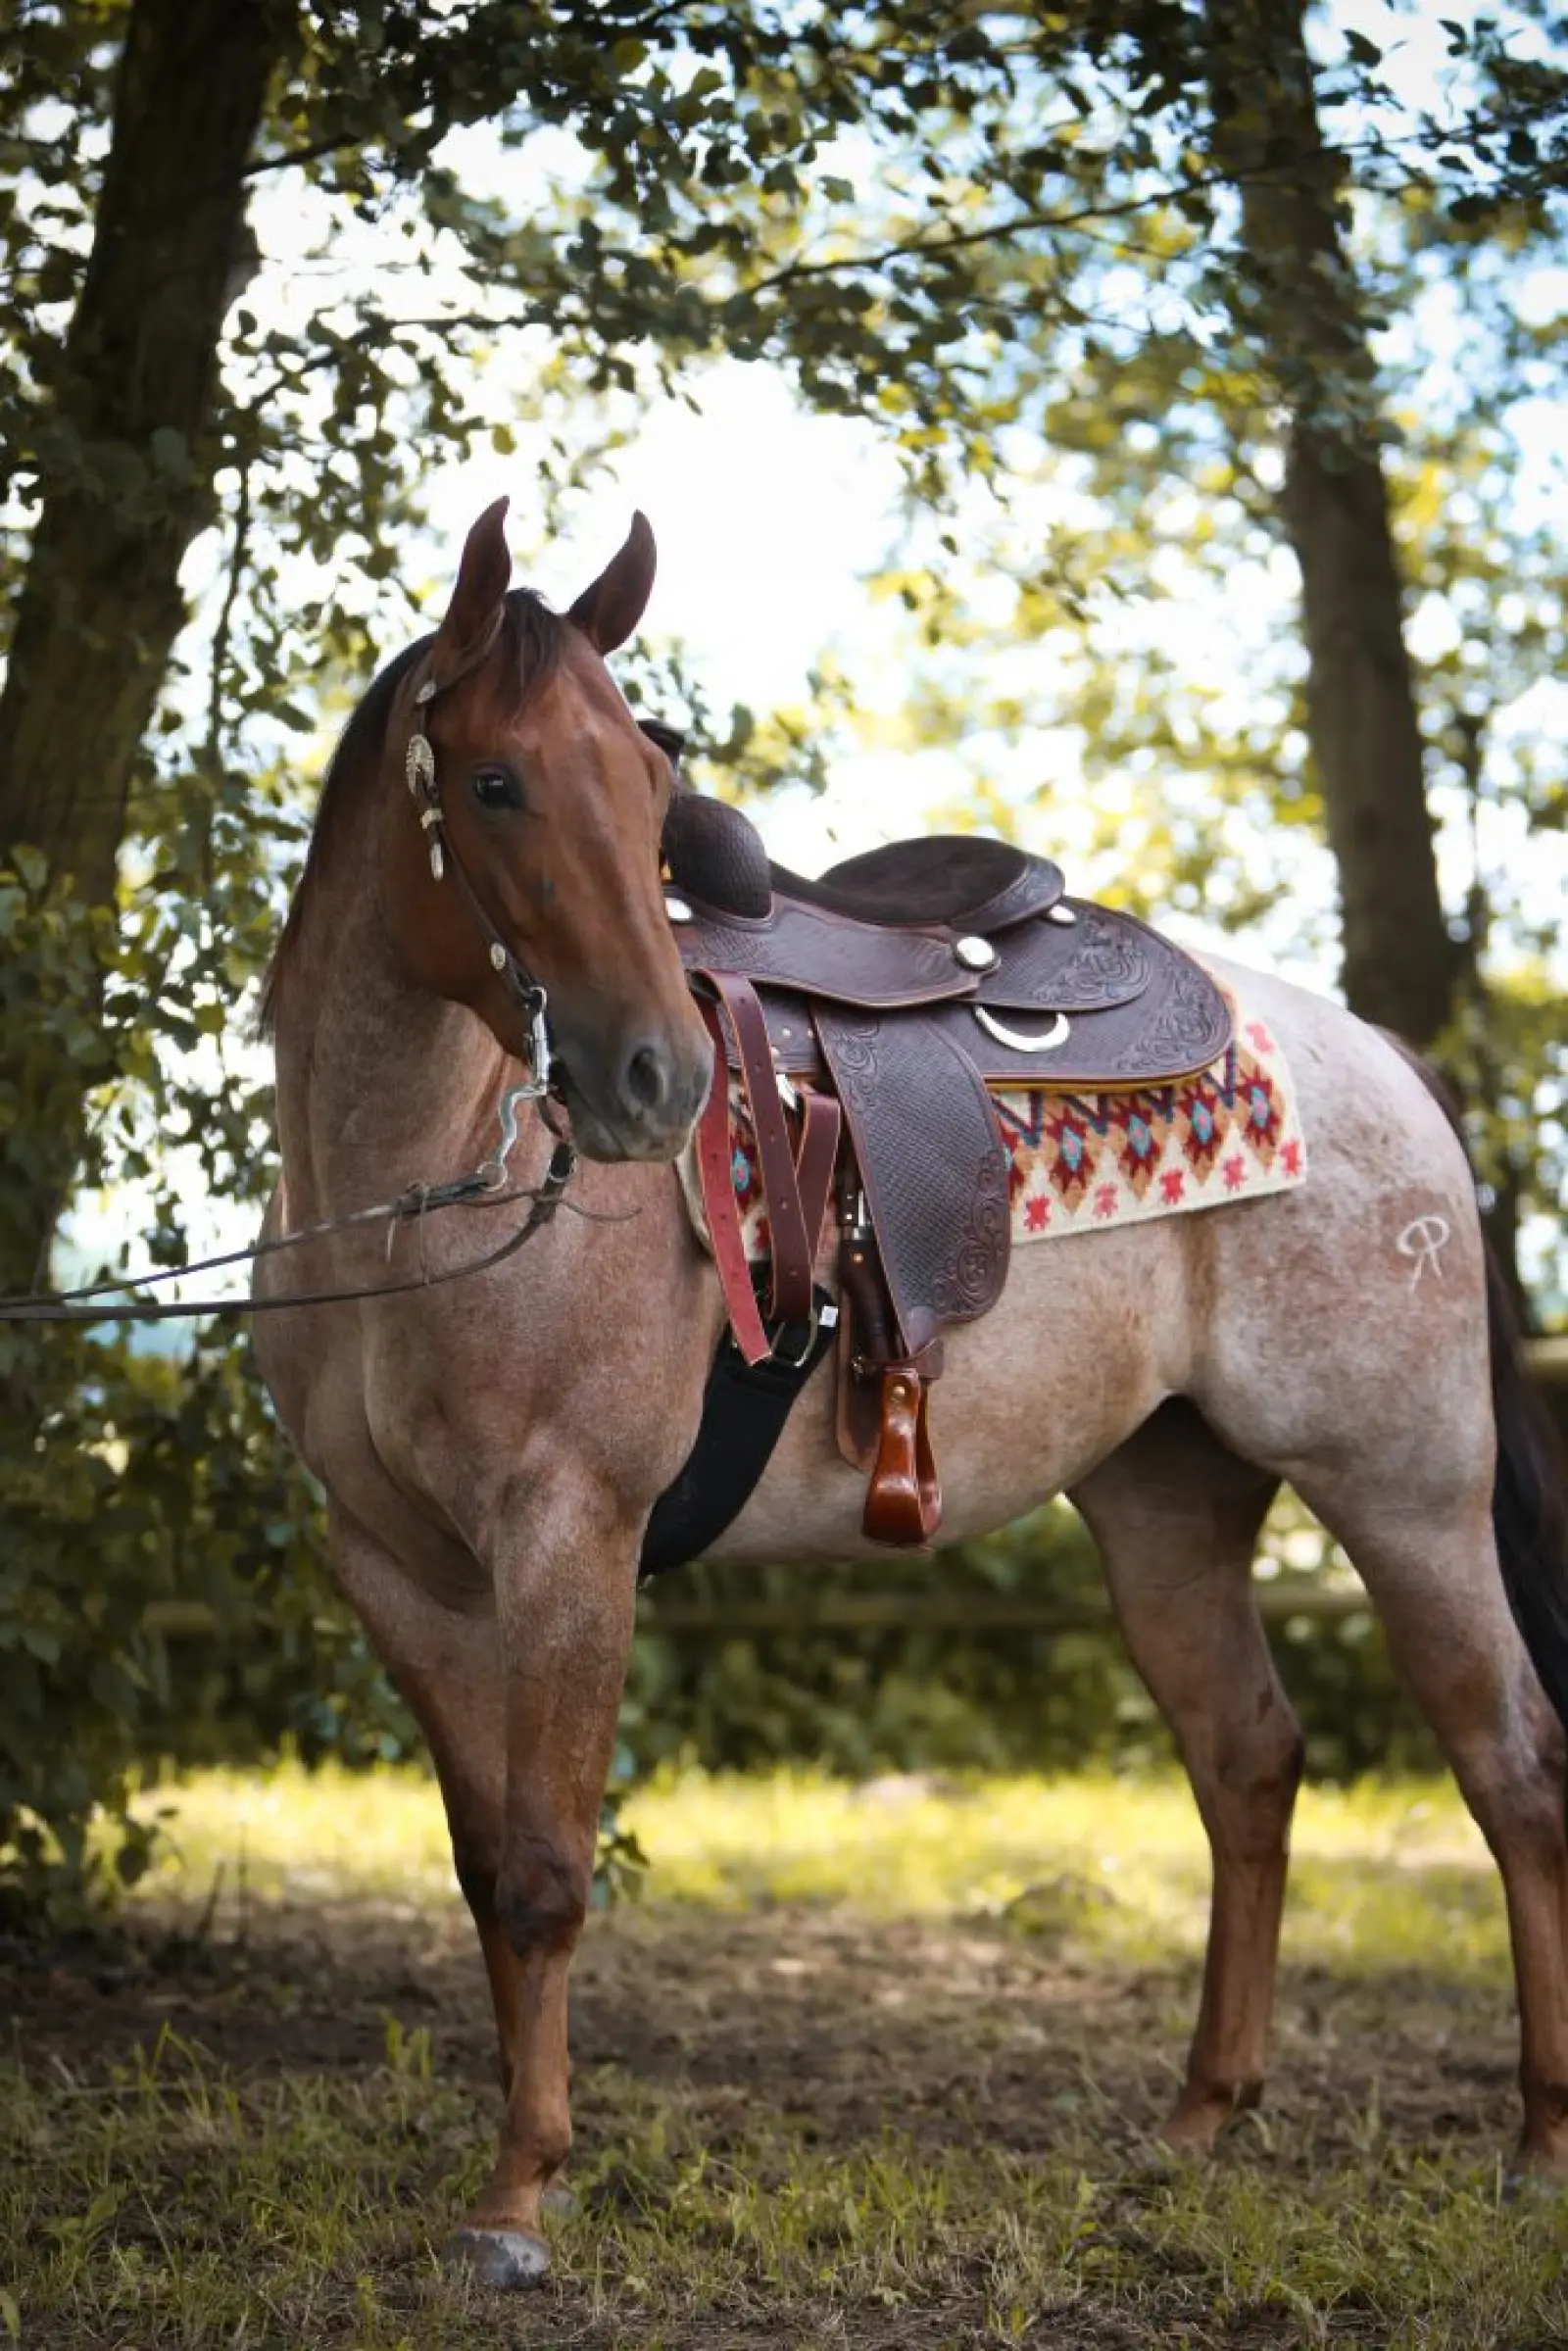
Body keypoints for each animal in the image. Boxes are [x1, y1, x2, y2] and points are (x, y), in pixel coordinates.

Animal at [255, 498, 1568, 2288]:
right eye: (499, 781)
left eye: (651, 783)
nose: (657, 1076)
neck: (426, 1177)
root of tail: (1385, 1058)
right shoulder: (397, 1566)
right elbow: (477, 1865)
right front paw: (523, 2168)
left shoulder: (569, 1539)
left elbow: (541, 1870)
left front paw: (520, 2198)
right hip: (1169, 1505)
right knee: (1249, 1762)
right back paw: (1196, 2122)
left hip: (1409, 1493)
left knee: (1514, 1763)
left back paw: (1540, 2141)